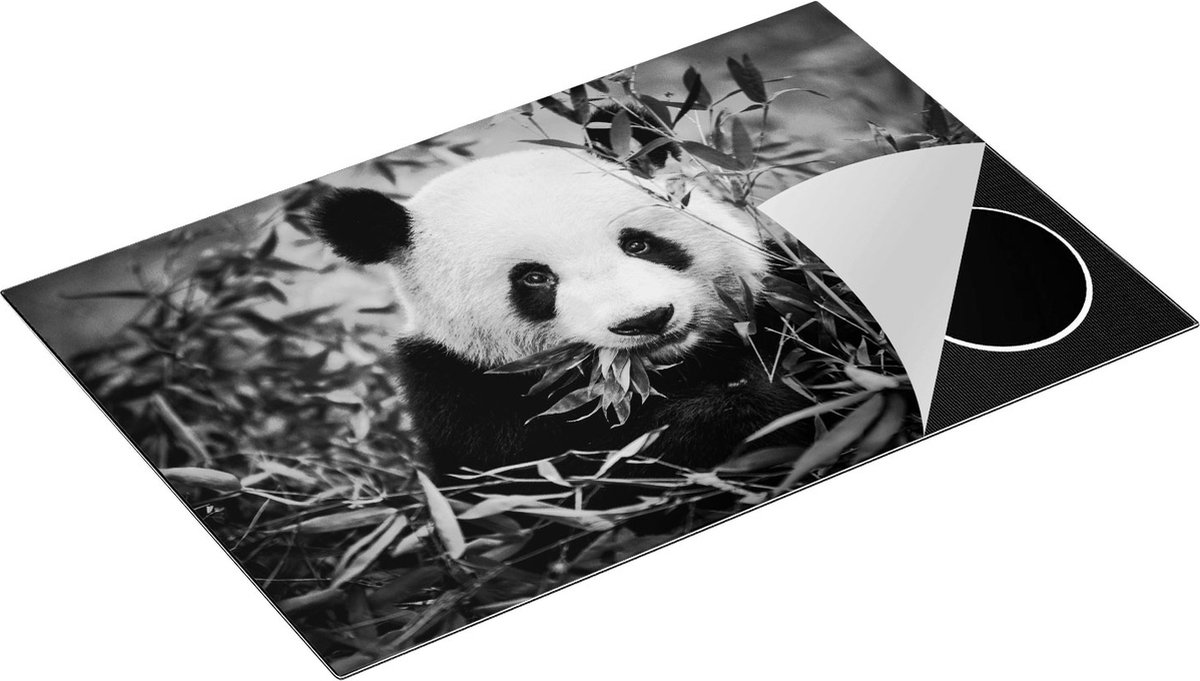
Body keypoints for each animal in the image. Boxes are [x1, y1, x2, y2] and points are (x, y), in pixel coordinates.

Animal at [309, 148, 809, 477]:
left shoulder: (781, 289)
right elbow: (584, 469)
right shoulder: (462, 396)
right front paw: (734, 411)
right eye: (534, 278)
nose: (646, 320)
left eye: (638, 243)